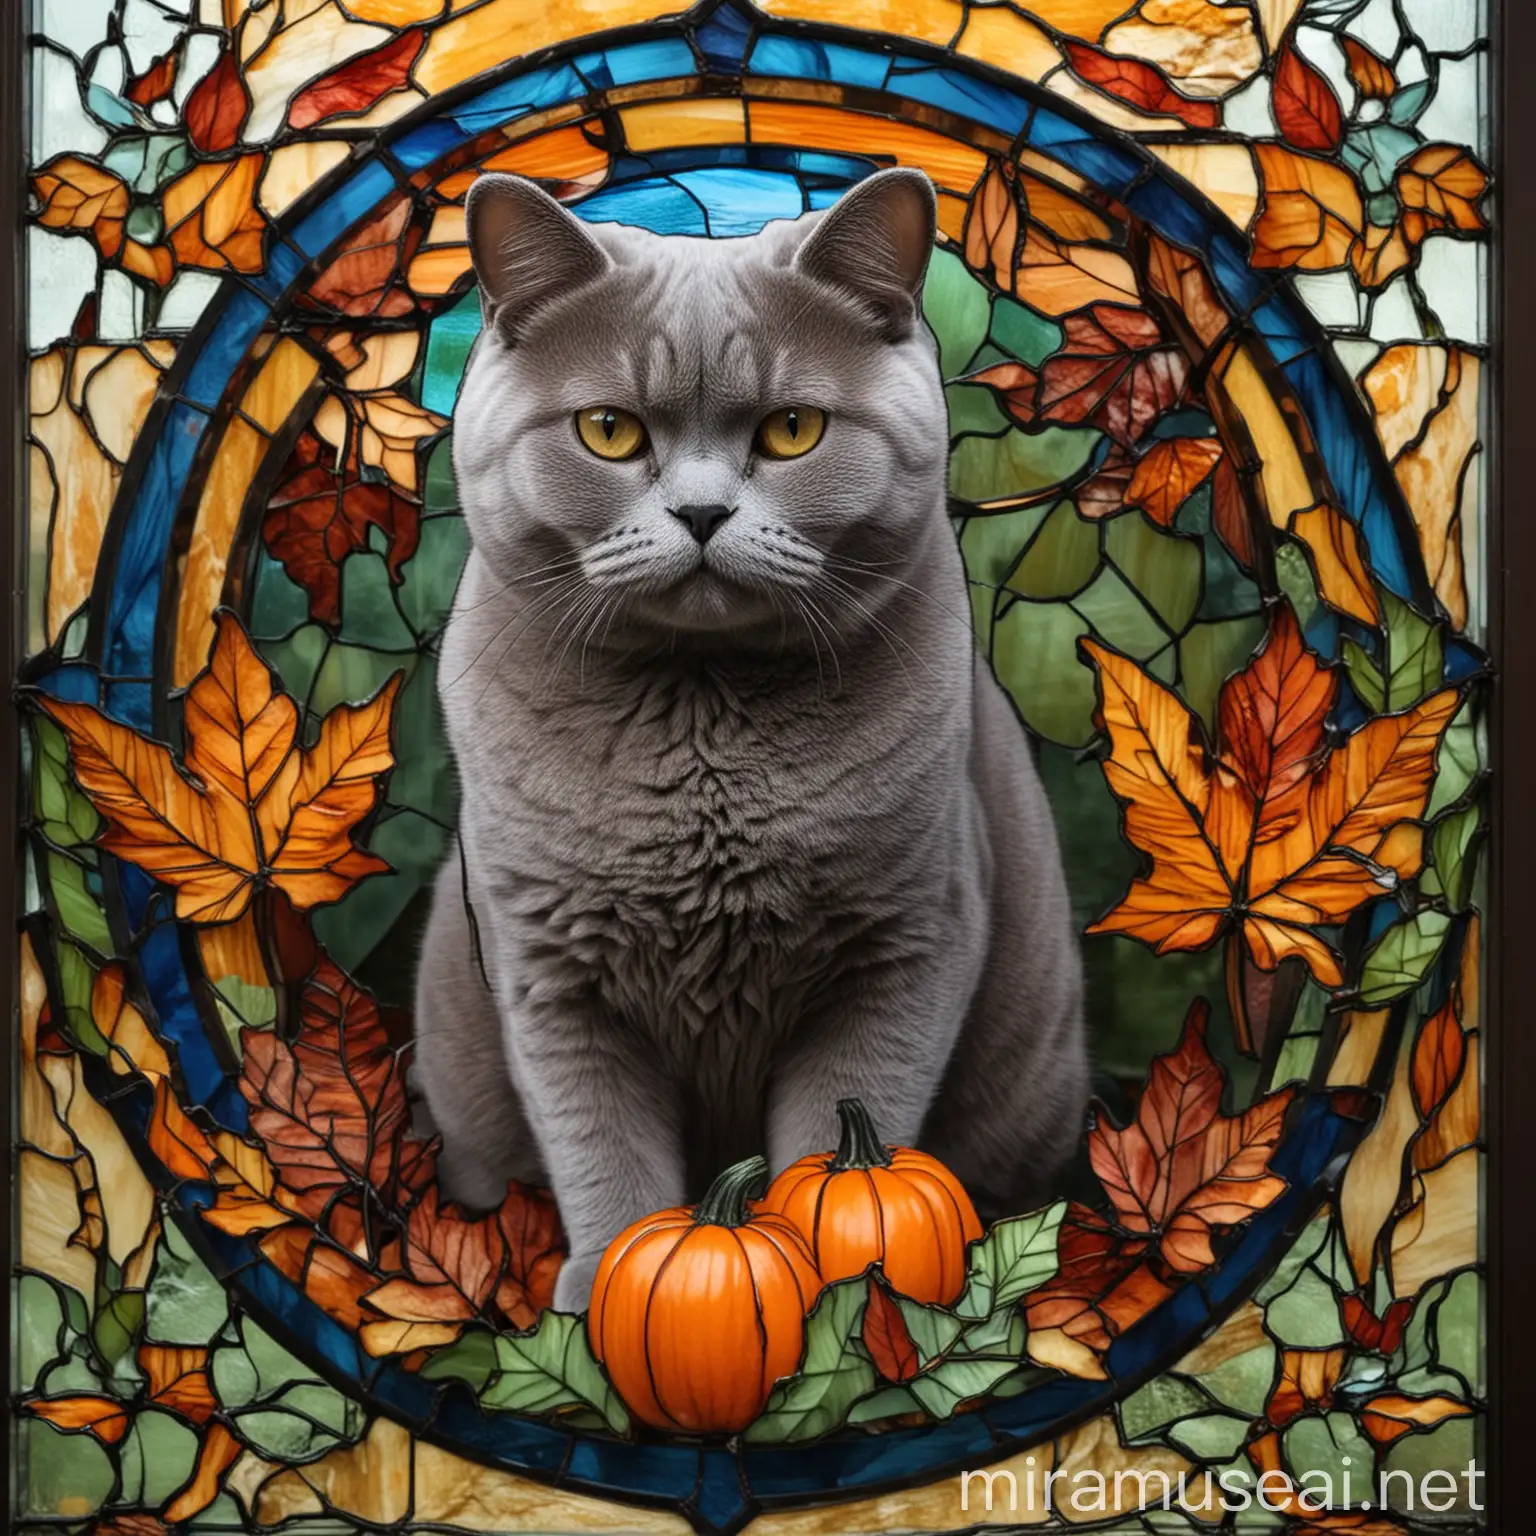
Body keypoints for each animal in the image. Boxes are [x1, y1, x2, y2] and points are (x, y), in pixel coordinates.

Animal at [414, 171, 1087, 1320]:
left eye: (791, 429)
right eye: (607, 431)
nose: (700, 512)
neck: (702, 731)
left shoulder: (904, 948)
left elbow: (844, 1134)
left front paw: (835, 1309)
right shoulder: (552, 974)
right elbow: (605, 1156)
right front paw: (606, 1297)